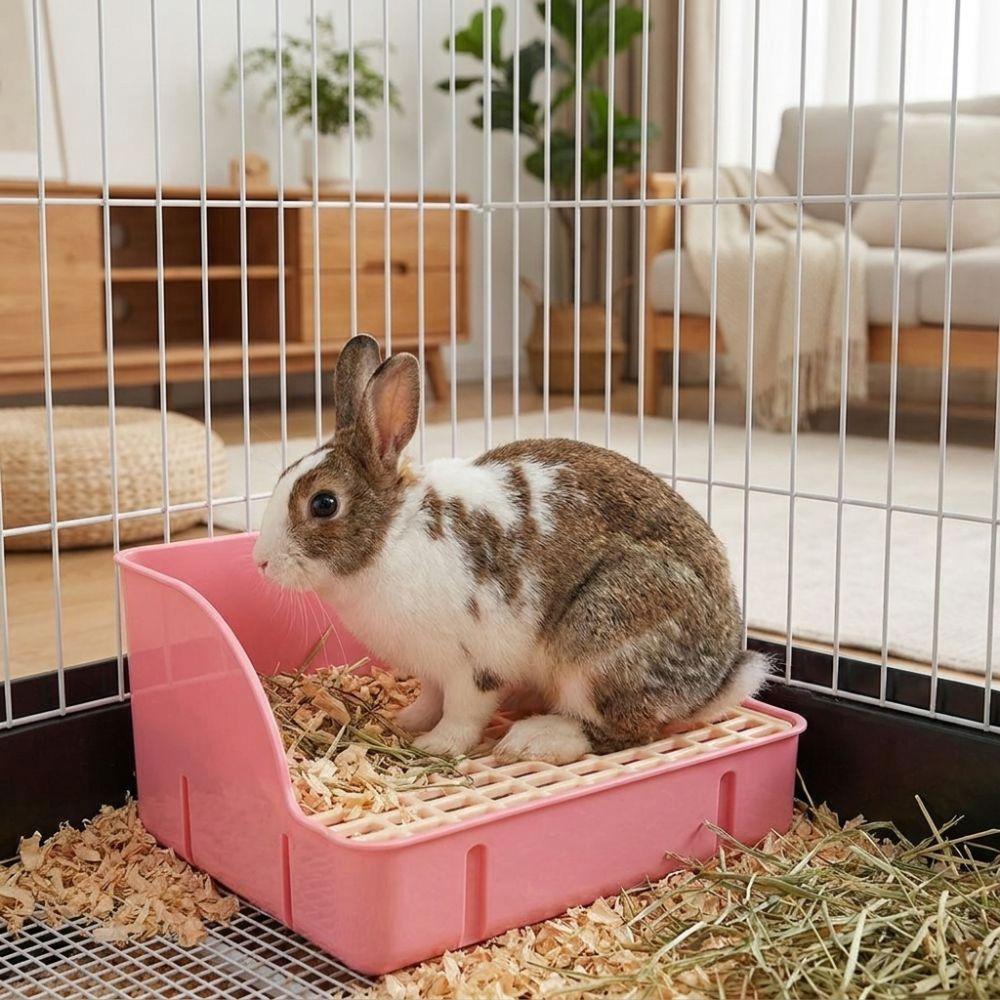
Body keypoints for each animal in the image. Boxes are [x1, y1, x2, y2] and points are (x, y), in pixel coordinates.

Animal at [253, 334, 769, 764]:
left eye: (324, 504)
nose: (261, 562)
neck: (392, 535)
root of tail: (714, 681)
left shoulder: (473, 665)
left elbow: (463, 711)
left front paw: (437, 744)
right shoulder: (432, 669)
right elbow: (432, 698)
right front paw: (408, 720)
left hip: (600, 645)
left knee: (622, 731)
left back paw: (536, 739)